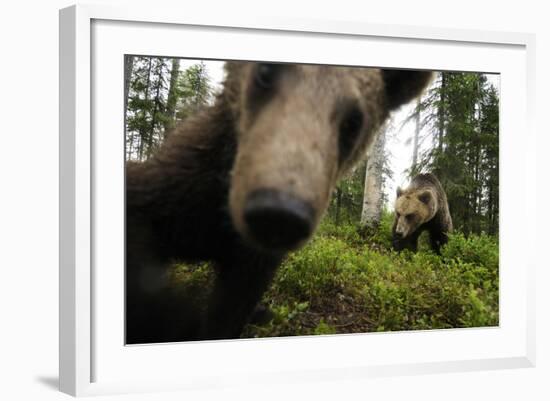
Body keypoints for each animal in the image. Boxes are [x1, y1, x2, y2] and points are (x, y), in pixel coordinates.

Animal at [126, 61, 436, 342]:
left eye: (353, 121)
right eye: (265, 72)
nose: (278, 213)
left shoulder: (252, 263)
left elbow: (230, 309)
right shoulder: (179, 190)